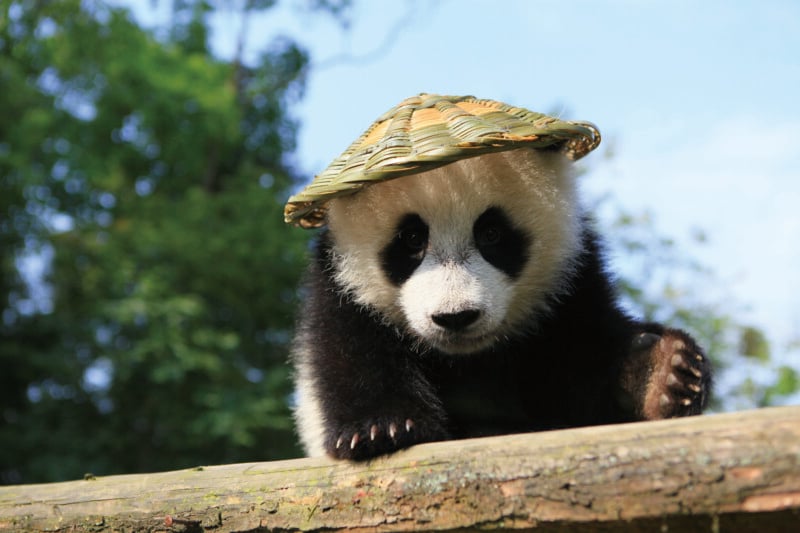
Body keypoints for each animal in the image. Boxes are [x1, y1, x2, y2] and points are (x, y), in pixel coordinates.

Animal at [289, 122, 711, 461]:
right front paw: (384, 428)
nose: (455, 317)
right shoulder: (340, 288)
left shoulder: (571, 282)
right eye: (411, 239)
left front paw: (661, 374)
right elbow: (350, 354)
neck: (468, 358)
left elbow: (586, 361)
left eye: (491, 233)